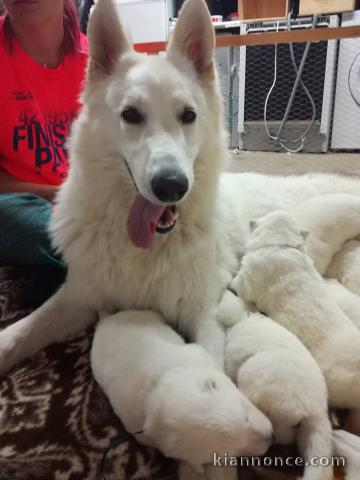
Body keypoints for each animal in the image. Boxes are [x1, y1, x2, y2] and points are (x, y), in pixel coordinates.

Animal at [90, 310, 272, 474]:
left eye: (246, 418)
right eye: (227, 454)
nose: (272, 438)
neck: (158, 392)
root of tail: (102, 322)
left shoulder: (197, 353)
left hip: (139, 315)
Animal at [221, 288, 334, 480]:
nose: (226, 289)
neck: (247, 316)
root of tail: (316, 412)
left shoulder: (234, 358)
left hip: (251, 377)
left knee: (279, 436)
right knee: (288, 438)